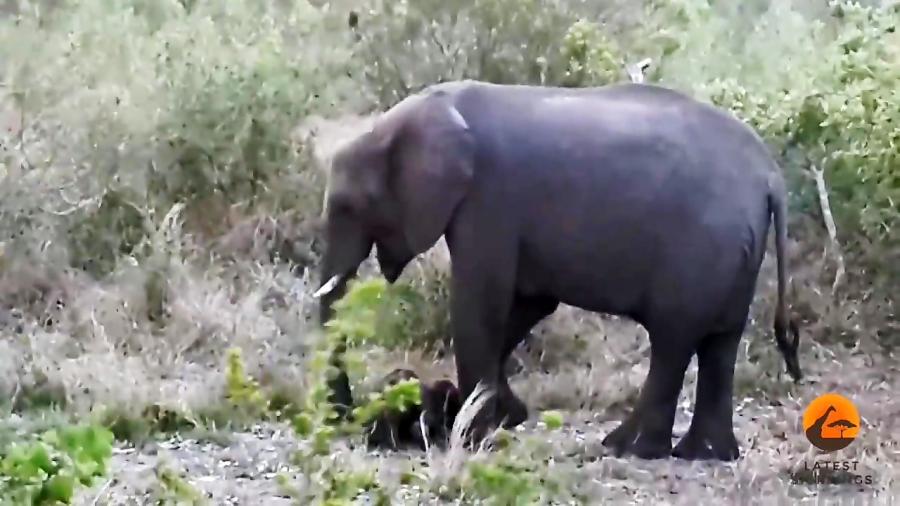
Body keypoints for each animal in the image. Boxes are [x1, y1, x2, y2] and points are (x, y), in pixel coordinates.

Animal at [314, 77, 800, 460]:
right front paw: (504, 418)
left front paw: (471, 435)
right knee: (720, 343)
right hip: (736, 250)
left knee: (673, 339)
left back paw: (625, 447)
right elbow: (528, 304)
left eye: (348, 206)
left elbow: (479, 300)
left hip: (701, 247)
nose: (347, 418)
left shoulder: (488, 200)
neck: (424, 111)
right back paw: (706, 454)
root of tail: (771, 176)